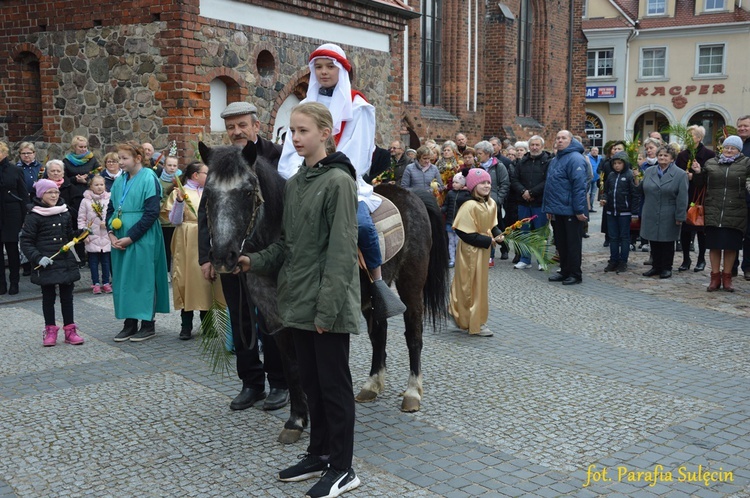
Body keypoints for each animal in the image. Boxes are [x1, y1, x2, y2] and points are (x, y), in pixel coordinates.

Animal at [197, 141, 450, 444]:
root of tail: (412, 195)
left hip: (411, 283)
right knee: (379, 334)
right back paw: (372, 384)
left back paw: (412, 392)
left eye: (247, 191)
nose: (223, 256)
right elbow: (292, 367)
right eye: (208, 194)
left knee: (413, 334)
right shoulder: (274, 318)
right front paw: (296, 420)